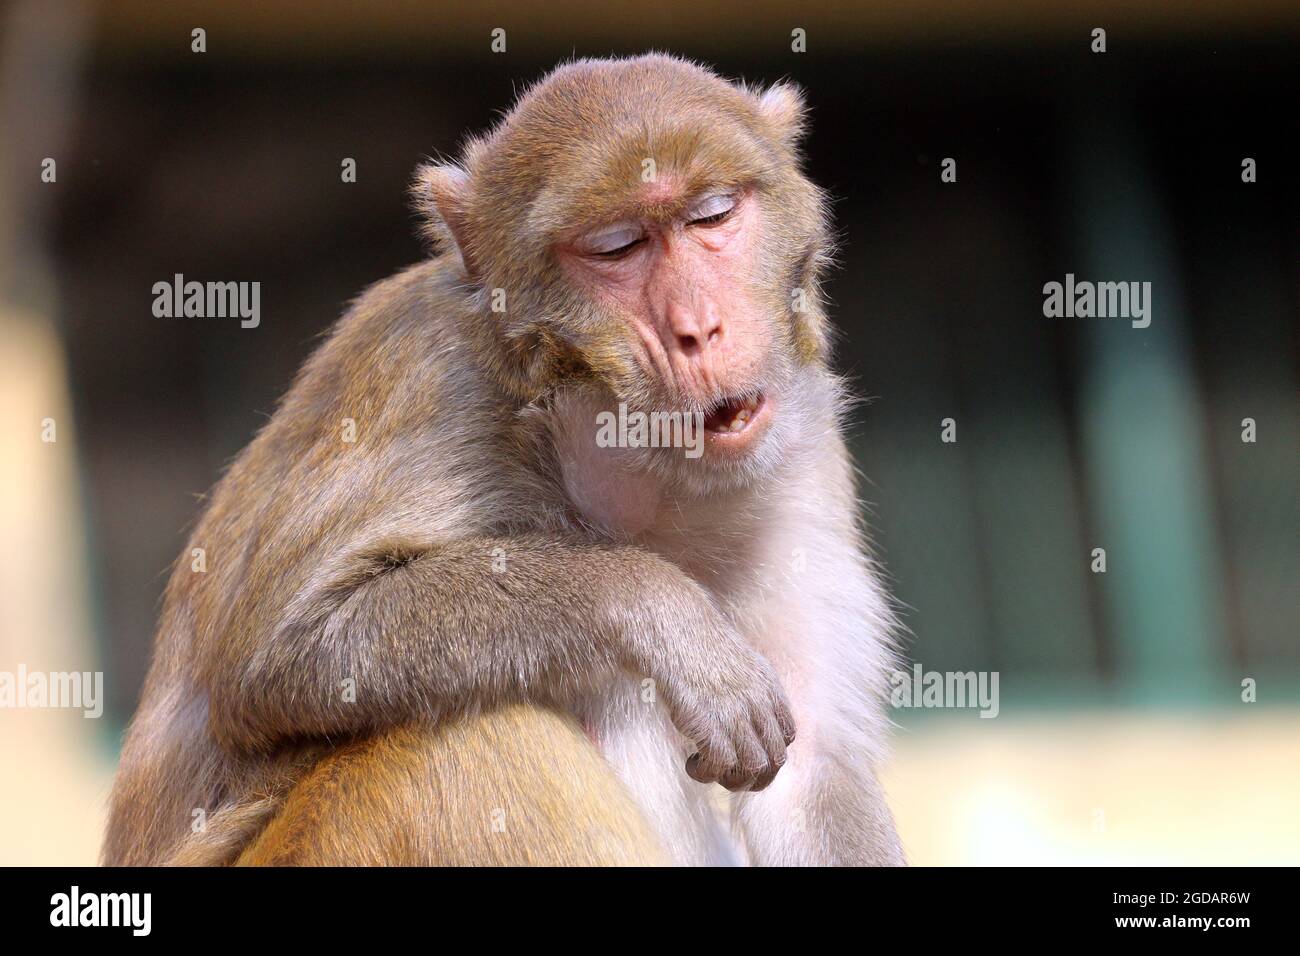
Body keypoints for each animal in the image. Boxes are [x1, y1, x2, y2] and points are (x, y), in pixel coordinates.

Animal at [103, 53, 904, 867]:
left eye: (712, 215)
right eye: (617, 247)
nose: (699, 328)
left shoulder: (801, 454)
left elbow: (814, 781)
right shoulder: (435, 382)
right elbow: (273, 657)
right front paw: (655, 606)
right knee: (480, 740)